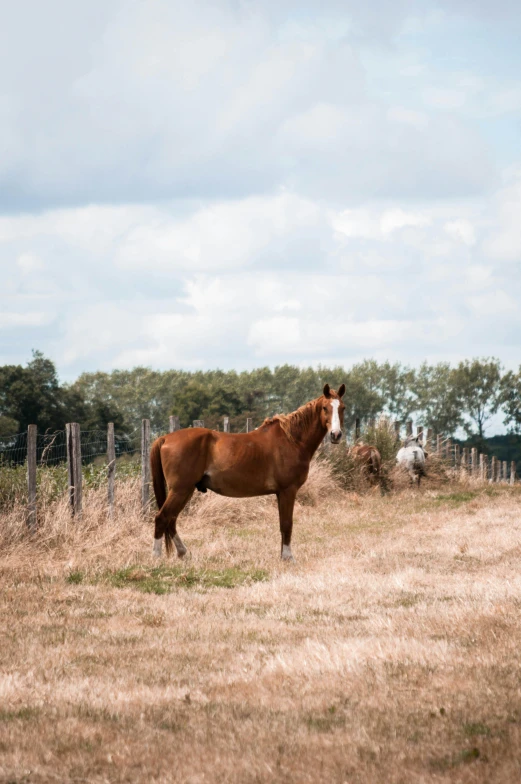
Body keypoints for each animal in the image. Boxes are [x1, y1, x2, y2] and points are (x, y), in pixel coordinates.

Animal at [150, 382, 346, 560]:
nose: (336, 435)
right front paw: (288, 557)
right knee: (162, 518)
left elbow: (282, 525)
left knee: (171, 520)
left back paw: (182, 553)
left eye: (342, 408)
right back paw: (156, 558)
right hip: (181, 490)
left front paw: (283, 556)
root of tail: (165, 438)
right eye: (325, 408)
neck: (291, 440)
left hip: (184, 491)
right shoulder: (287, 491)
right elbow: (287, 524)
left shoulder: (280, 493)